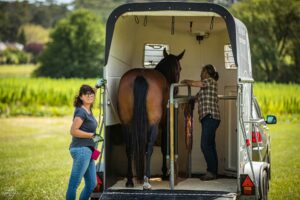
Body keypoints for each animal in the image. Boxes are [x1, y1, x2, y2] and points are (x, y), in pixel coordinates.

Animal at [118, 48, 185, 189]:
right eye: (180, 68)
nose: (176, 91)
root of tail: (140, 76)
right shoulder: (164, 124)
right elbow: (164, 147)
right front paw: (164, 173)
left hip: (126, 124)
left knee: (129, 148)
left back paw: (130, 180)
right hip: (153, 124)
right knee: (149, 148)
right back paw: (146, 180)